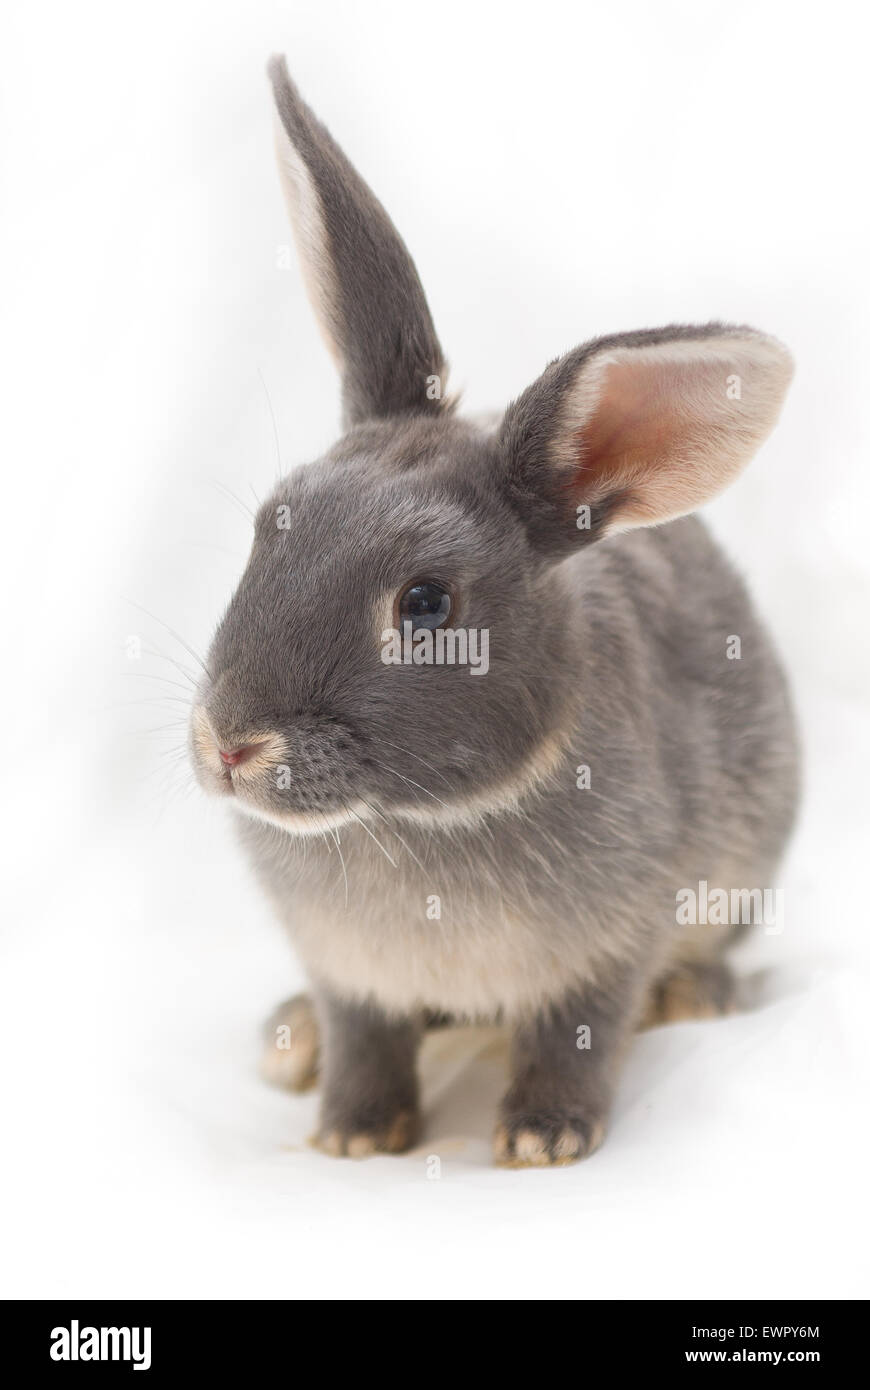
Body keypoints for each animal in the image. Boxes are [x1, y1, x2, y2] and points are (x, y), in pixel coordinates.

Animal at [189, 55, 799, 1167]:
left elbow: (576, 1030)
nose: (228, 745)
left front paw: (542, 1138)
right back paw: (289, 1040)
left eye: (427, 603)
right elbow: (364, 1035)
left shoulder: (609, 945)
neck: (414, 822)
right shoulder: (349, 974)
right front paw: (352, 1134)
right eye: (270, 526)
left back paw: (693, 997)